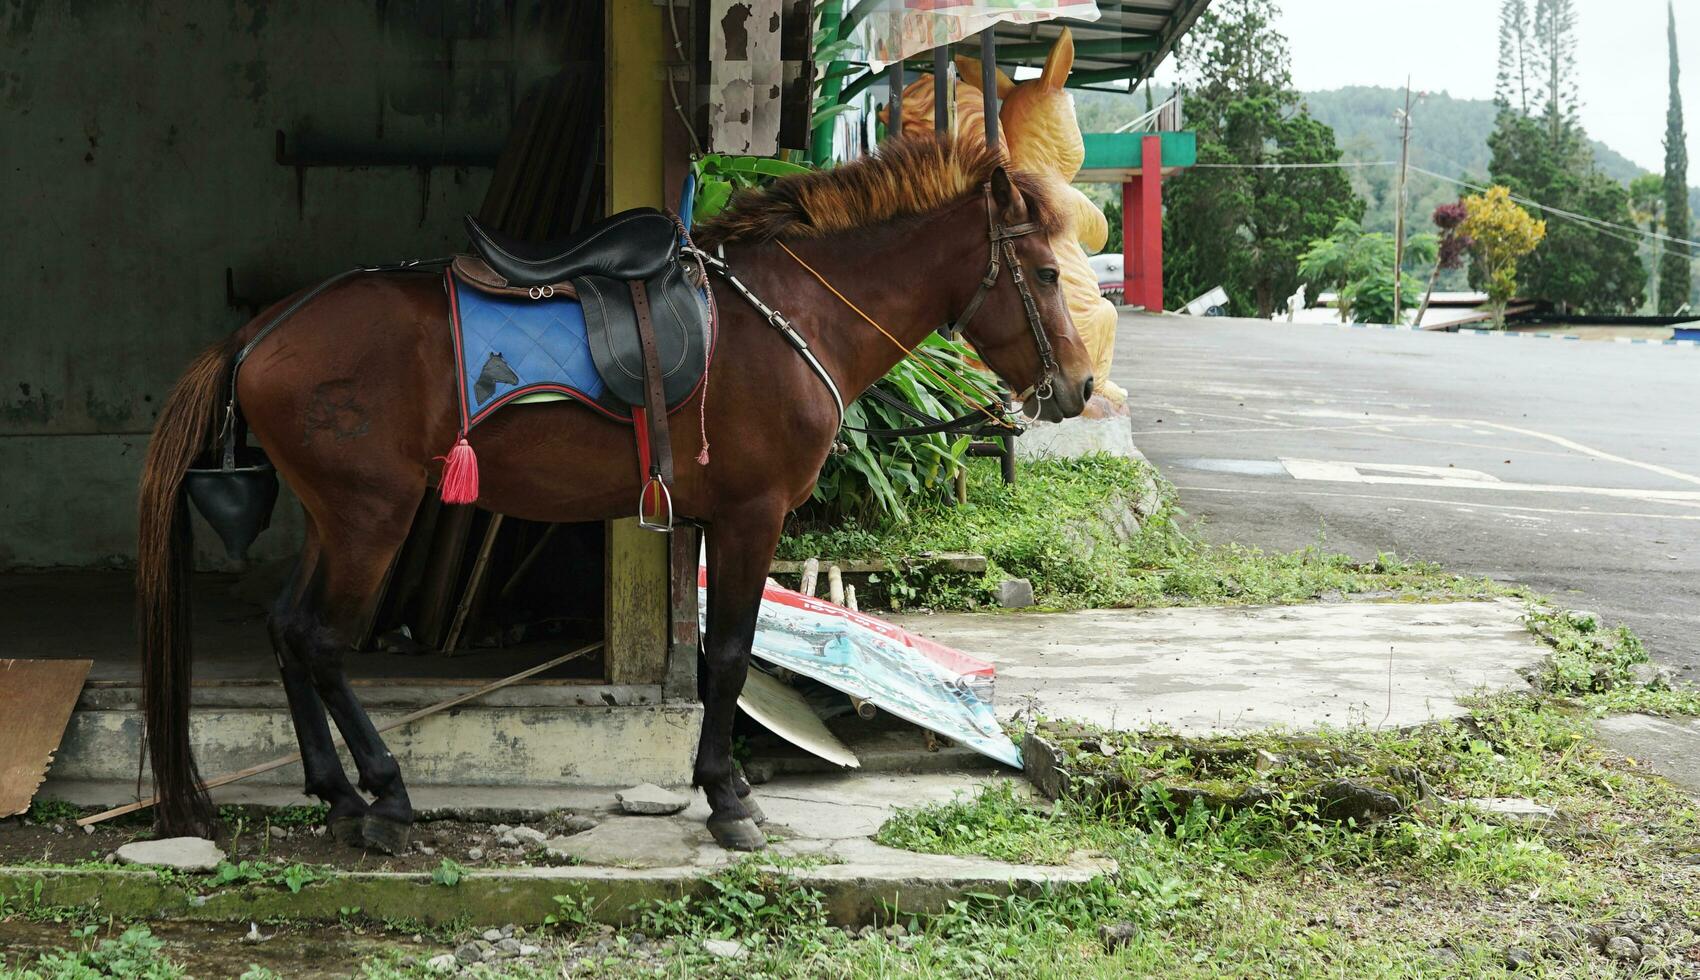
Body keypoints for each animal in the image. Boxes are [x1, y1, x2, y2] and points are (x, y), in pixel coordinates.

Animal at [129, 134, 1088, 854]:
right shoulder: (751, 516)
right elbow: (730, 655)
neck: (790, 312)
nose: (1077, 388)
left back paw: (336, 795)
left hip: (337, 516)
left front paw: (724, 782)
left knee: (288, 630)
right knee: (323, 640)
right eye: (1044, 274)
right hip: (373, 516)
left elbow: (712, 659)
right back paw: (387, 800)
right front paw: (728, 801)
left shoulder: (706, 520)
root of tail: (262, 330)